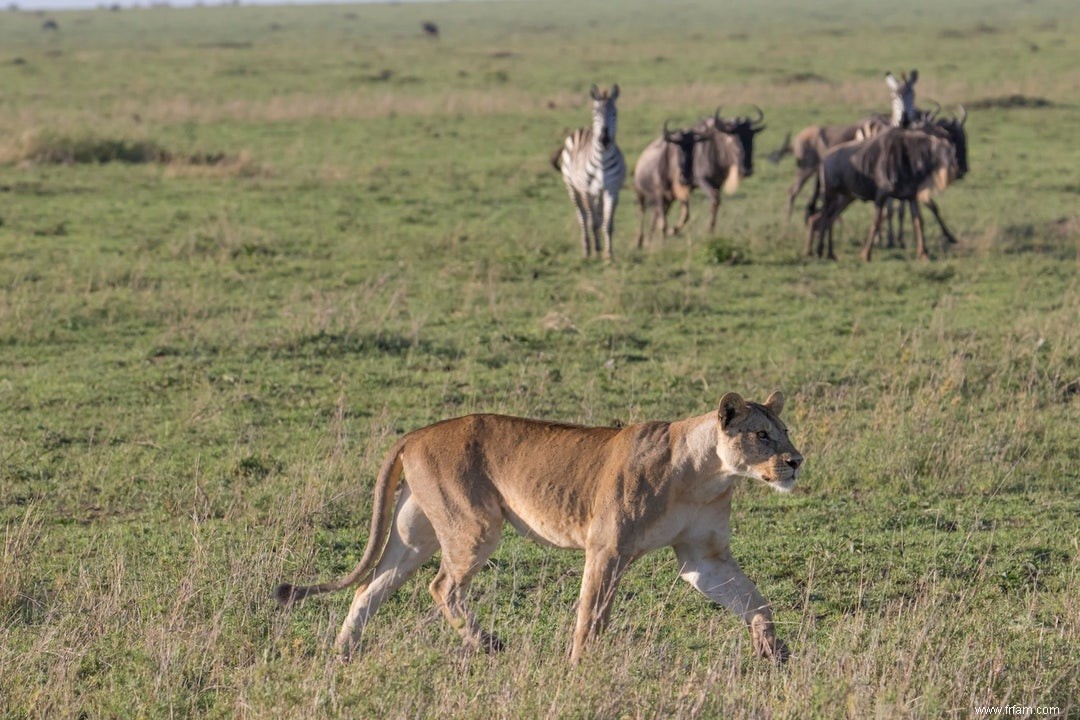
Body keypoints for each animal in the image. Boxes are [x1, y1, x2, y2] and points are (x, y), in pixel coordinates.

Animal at [552, 84, 630, 260]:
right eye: (595, 113)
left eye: (614, 113)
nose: (604, 139)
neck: (602, 160)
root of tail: (582, 128)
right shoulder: (586, 191)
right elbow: (592, 222)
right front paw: (596, 250)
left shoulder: (611, 190)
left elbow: (607, 223)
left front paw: (608, 255)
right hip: (573, 188)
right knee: (583, 217)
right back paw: (587, 249)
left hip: (598, 193)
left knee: (598, 216)